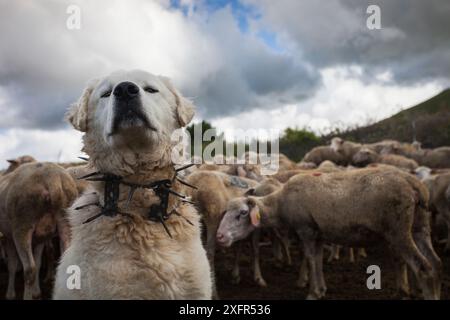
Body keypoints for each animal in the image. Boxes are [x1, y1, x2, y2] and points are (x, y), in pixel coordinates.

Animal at [0, 161, 78, 298]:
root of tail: (54, 179)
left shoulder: (9, 237)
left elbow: (13, 265)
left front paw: (10, 294)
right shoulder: (40, 238)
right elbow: (38, 261)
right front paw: (36, 292)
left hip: (22, 226)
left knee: (29, 270)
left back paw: (27, 296)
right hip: (66, 219)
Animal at [216, 168, 442, 300]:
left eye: (242, 213)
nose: (220, 236)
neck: (281, 203)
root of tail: (414, 184)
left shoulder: (306, 229)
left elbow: (311, 258)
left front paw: (313, 293)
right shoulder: (318, 233)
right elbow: (317, 259)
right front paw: (322, 289)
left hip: (398, 229)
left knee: (424, 268)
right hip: (419, 226)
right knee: (435, 263)